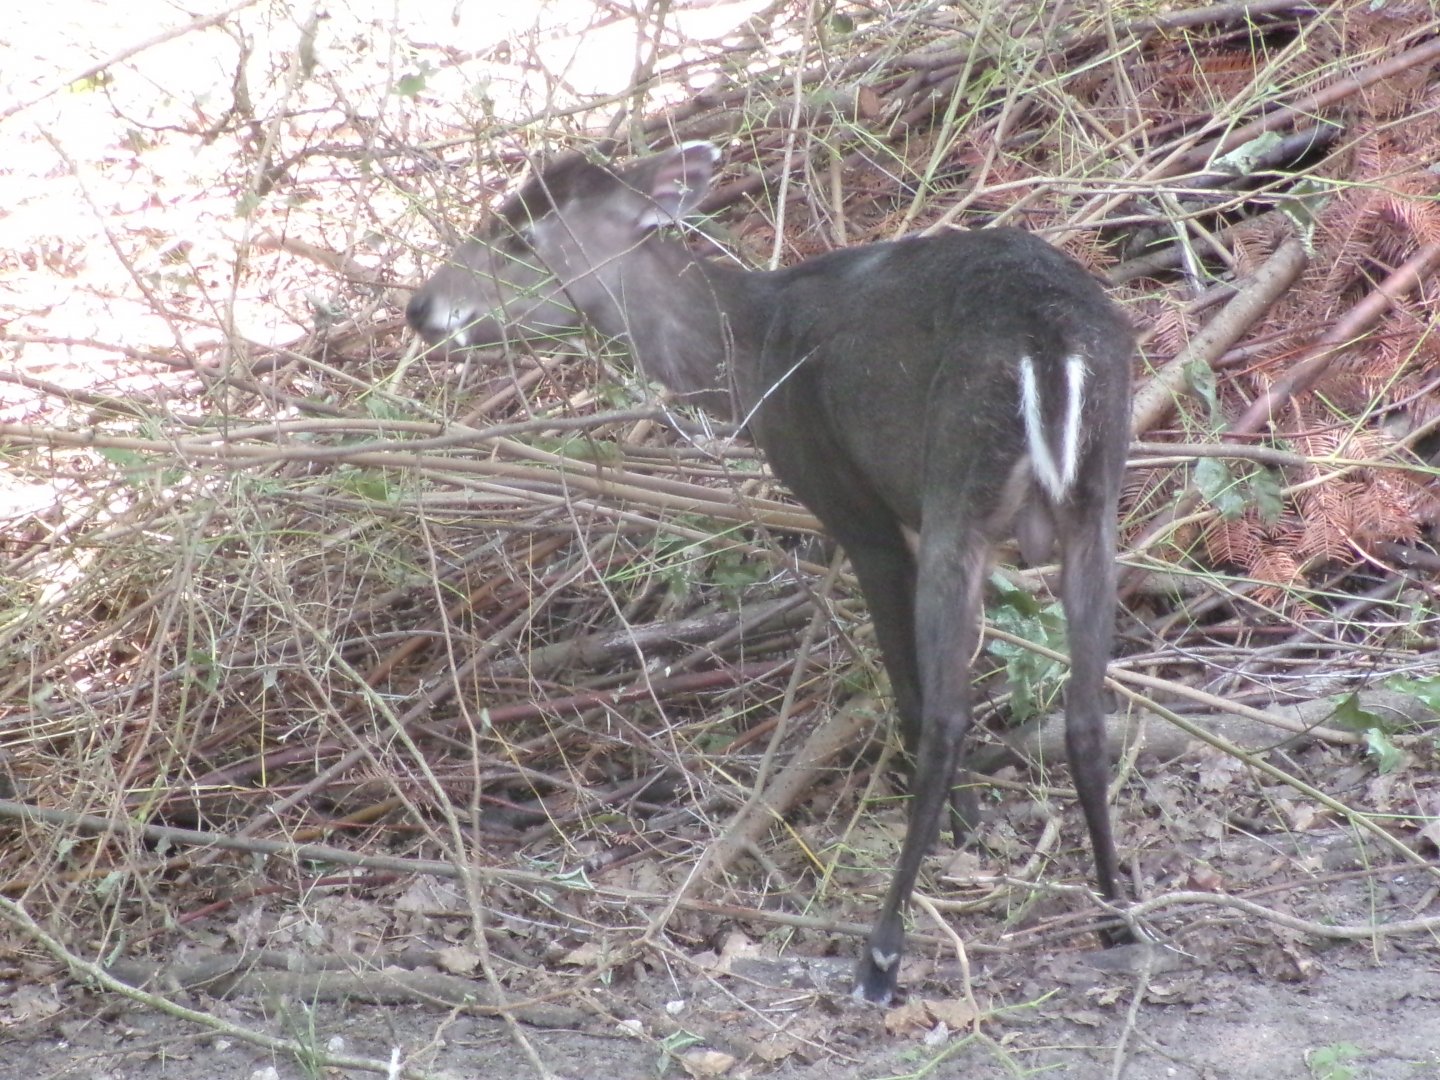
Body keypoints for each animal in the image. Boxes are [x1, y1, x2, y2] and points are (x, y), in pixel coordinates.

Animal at [405, 141, 1135, 1005]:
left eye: (521, 237)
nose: (422, 307)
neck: (747, 354)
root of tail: (1048, 341)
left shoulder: (851, 505)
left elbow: (911, 694)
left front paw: (966, 830)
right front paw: (976, 830)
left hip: (956, 485)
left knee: (950, 717)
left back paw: (881, 955)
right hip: (1099, 494)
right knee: (1086, 712)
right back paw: (1117, 916)